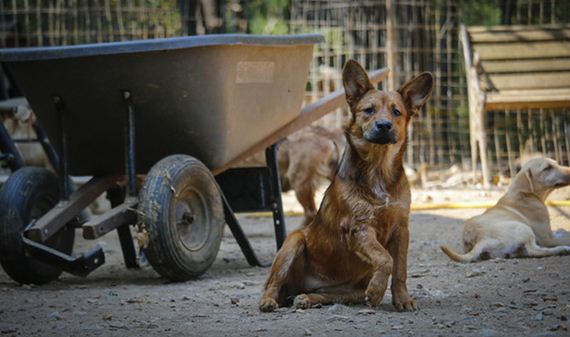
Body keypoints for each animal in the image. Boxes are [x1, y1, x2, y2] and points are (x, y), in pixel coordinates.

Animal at [258, 59, 430, 310]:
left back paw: (308, 298)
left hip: (350, 291)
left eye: (396, 112)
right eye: (369, 110)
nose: (384, 125)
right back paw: (269, 300)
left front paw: (402, 299)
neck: (378, 170)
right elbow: (385, 258)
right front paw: (377, 291)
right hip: (293, 242)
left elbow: (399, 268)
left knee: (325, 295)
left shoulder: (401, 229)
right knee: (273, 283)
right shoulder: (359, 228)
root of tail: (299, 287)